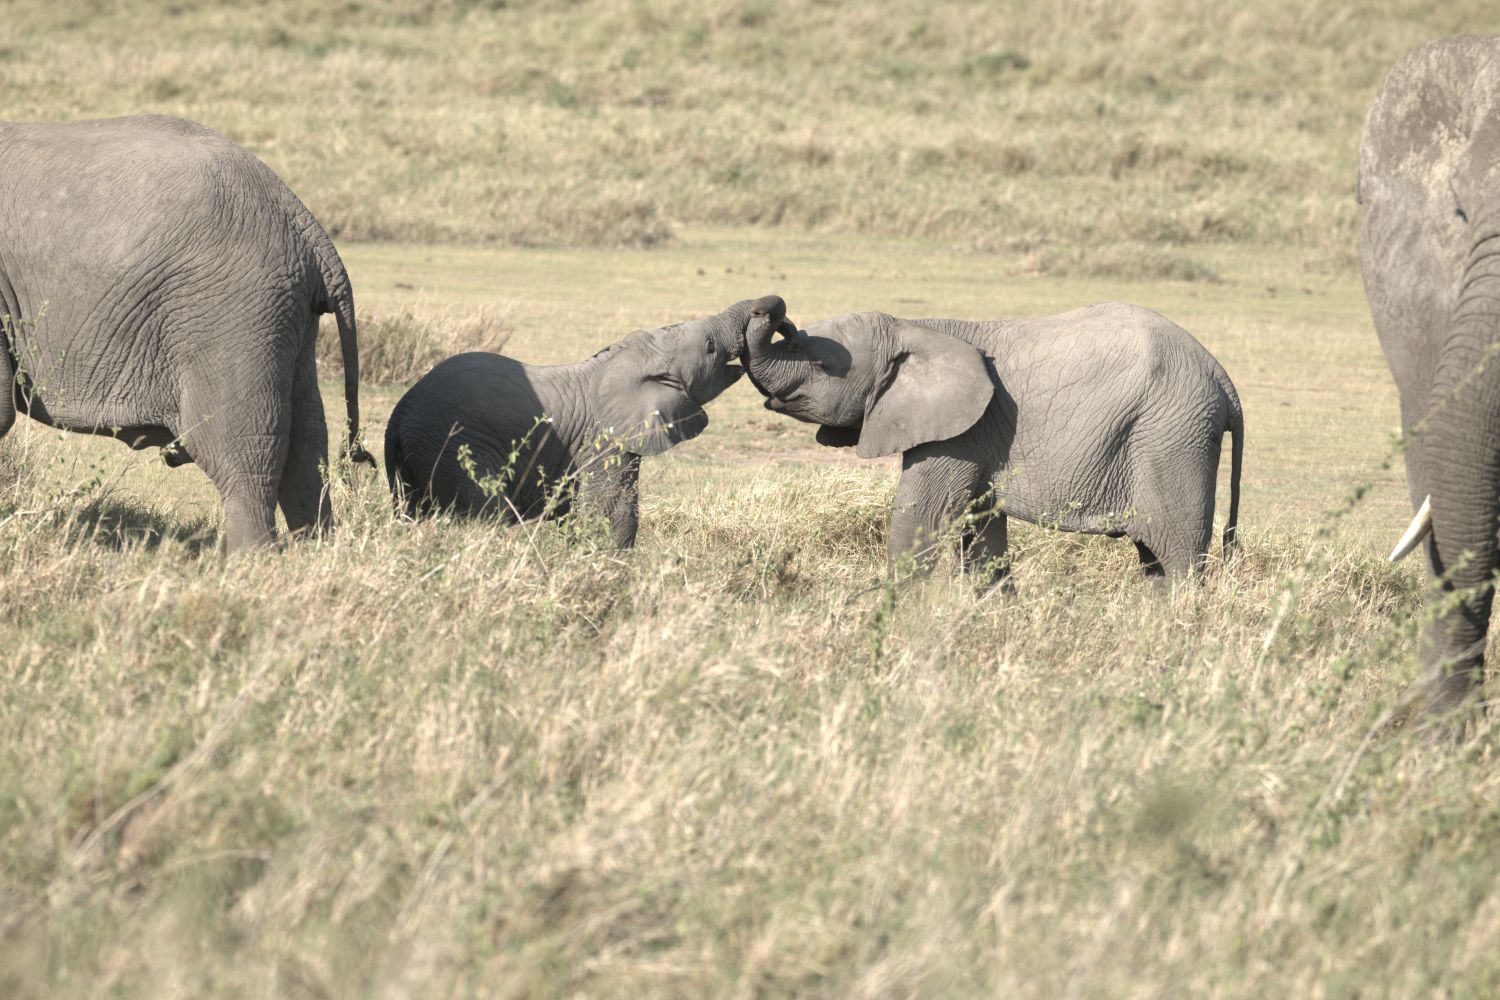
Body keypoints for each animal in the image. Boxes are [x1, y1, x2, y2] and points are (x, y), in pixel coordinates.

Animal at [0, 114, 373, 550]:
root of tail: (308, 226)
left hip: (231, 312)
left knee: (240, 446)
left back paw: (252, 559)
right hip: (284, 319)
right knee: (307, 440)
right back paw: (317, 551)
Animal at [384, 295, 782, 547]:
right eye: (710, 348)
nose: (764, 312)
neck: (610, 362)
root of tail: (401, 410)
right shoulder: (604, 442)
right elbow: (612, 512)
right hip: (452, 445)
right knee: (486, 513)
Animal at [741, 303, 1243, 581]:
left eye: (820, 364)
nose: (771, 311)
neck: (915, 326)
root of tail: (1223, 380)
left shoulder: (963, 431)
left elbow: (920, 517)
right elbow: (980, 531)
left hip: (1172, 439)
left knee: (1178, 556)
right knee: (1154, 560)